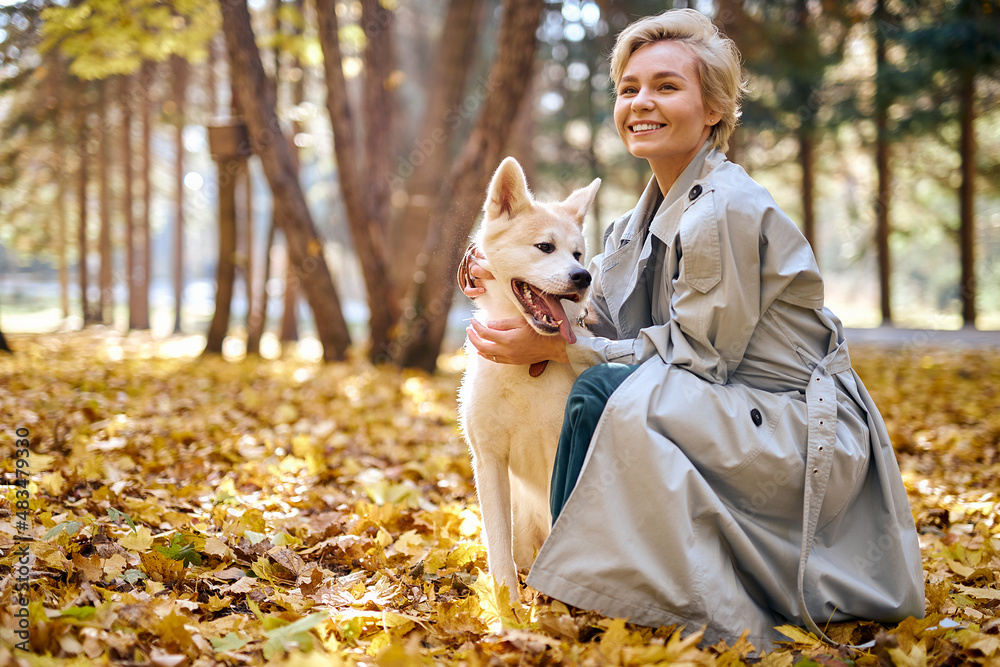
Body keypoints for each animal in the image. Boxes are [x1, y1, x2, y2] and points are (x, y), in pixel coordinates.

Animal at [458, 158, 600, 600]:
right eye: (544, 247)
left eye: (578, 253)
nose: (583, 277)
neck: (527, 369)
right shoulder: (488, 459)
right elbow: (498, 547)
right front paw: (508, 608)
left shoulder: (562, 450)